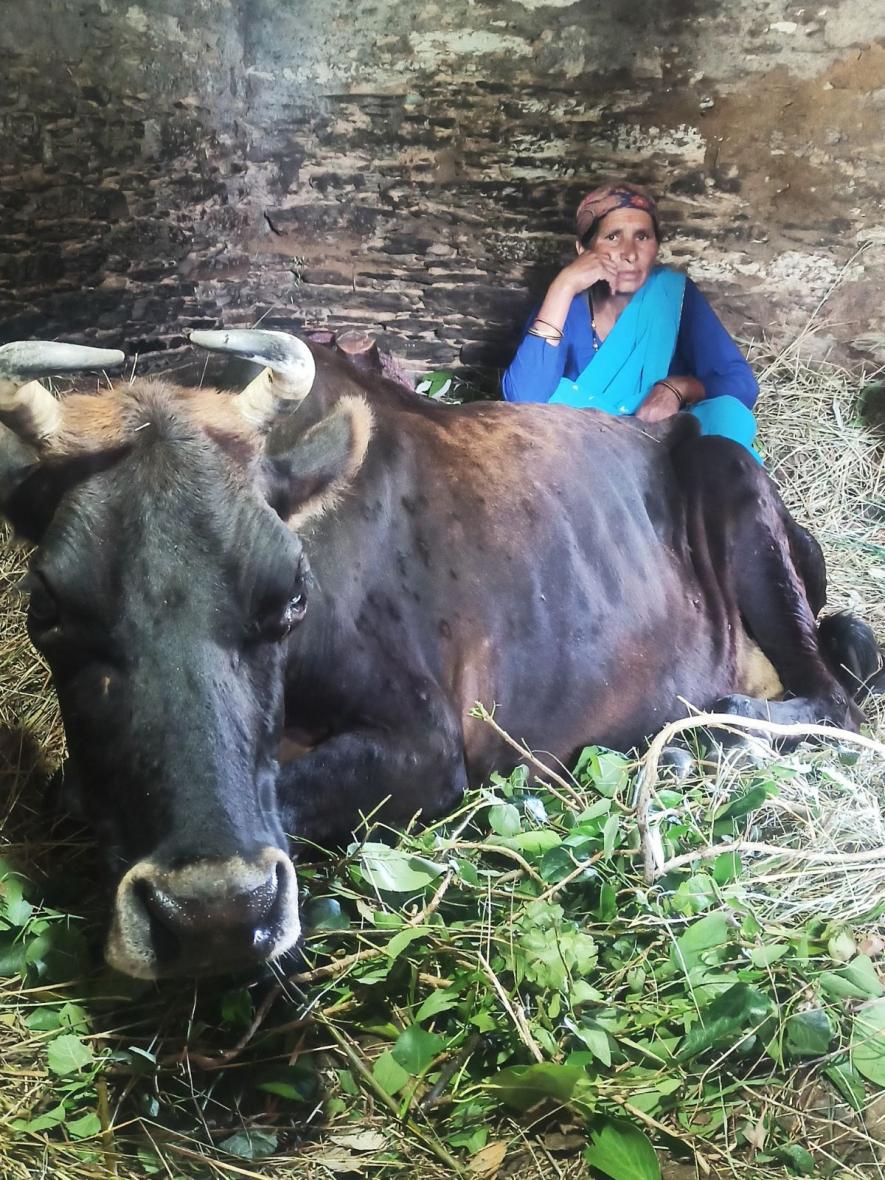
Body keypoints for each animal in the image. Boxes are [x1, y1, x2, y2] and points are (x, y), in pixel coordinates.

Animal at [0, 332, 878, 980]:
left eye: (291, 594)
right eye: (47, 608)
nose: (216, 912)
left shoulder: (426, 743)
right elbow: (73, 792)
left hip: (740, 506)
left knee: (831, 697)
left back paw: (701, 741)